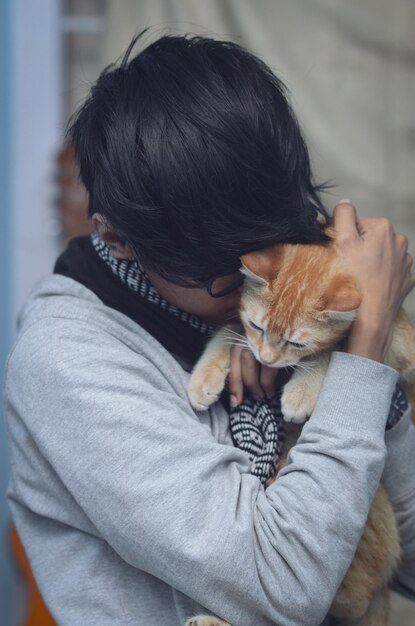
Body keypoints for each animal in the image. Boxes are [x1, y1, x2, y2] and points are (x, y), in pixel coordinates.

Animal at [188, 233, 415, 624]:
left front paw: (303, 389)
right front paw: (205, 375)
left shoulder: (400, 348)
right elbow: (231, 329)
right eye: (259, 326)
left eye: (297, 342)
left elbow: (335, 348)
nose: (266, 360)